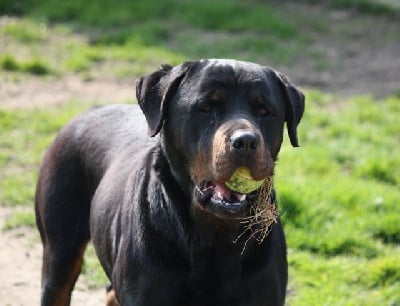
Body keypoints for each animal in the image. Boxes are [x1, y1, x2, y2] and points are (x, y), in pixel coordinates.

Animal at [35, 58, 304, 304]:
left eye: (265, 111)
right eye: (206, 107)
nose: (246, 141)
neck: (215, 235)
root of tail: (85, 113)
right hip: (60, 249)